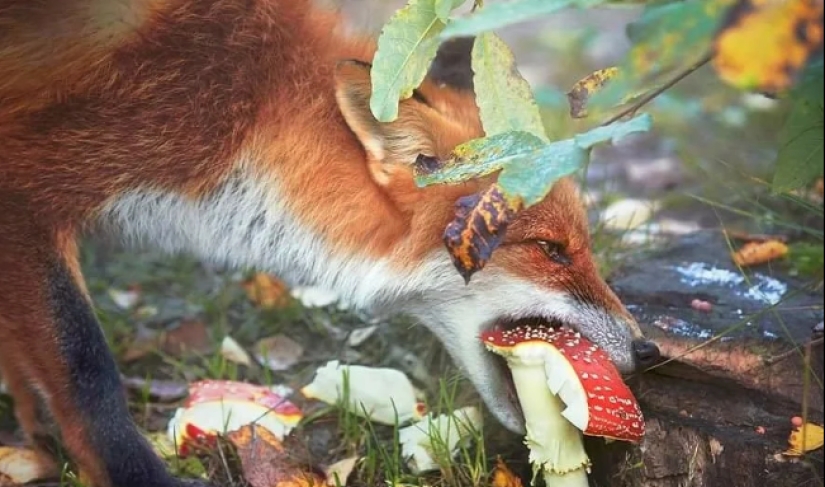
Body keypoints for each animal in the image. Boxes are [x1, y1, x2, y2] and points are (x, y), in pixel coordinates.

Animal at [0, 0, 656, 487]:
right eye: (551, 250)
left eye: (581, 245)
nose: (648, 350)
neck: (245, 102)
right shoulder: (24, 194)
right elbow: (88, 377)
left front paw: (30, 435)